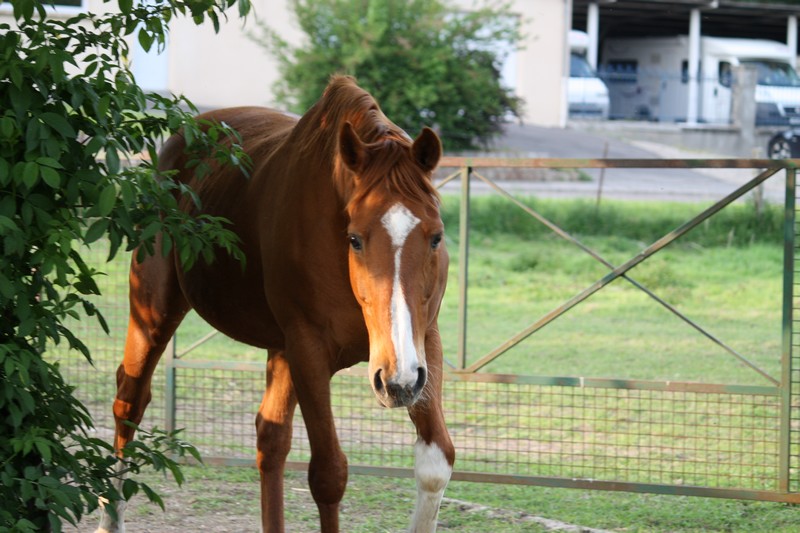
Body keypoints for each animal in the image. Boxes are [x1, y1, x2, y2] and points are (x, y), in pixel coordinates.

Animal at [95, 76, 450, 532]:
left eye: (436, 236)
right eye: (355, 239)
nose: (396, 382)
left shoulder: (423, 344)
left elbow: (436, 464)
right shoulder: (308, 350)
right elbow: (328, 474)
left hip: (282, 351)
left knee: (270, 437)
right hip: (153, 311)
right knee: (129, 401)